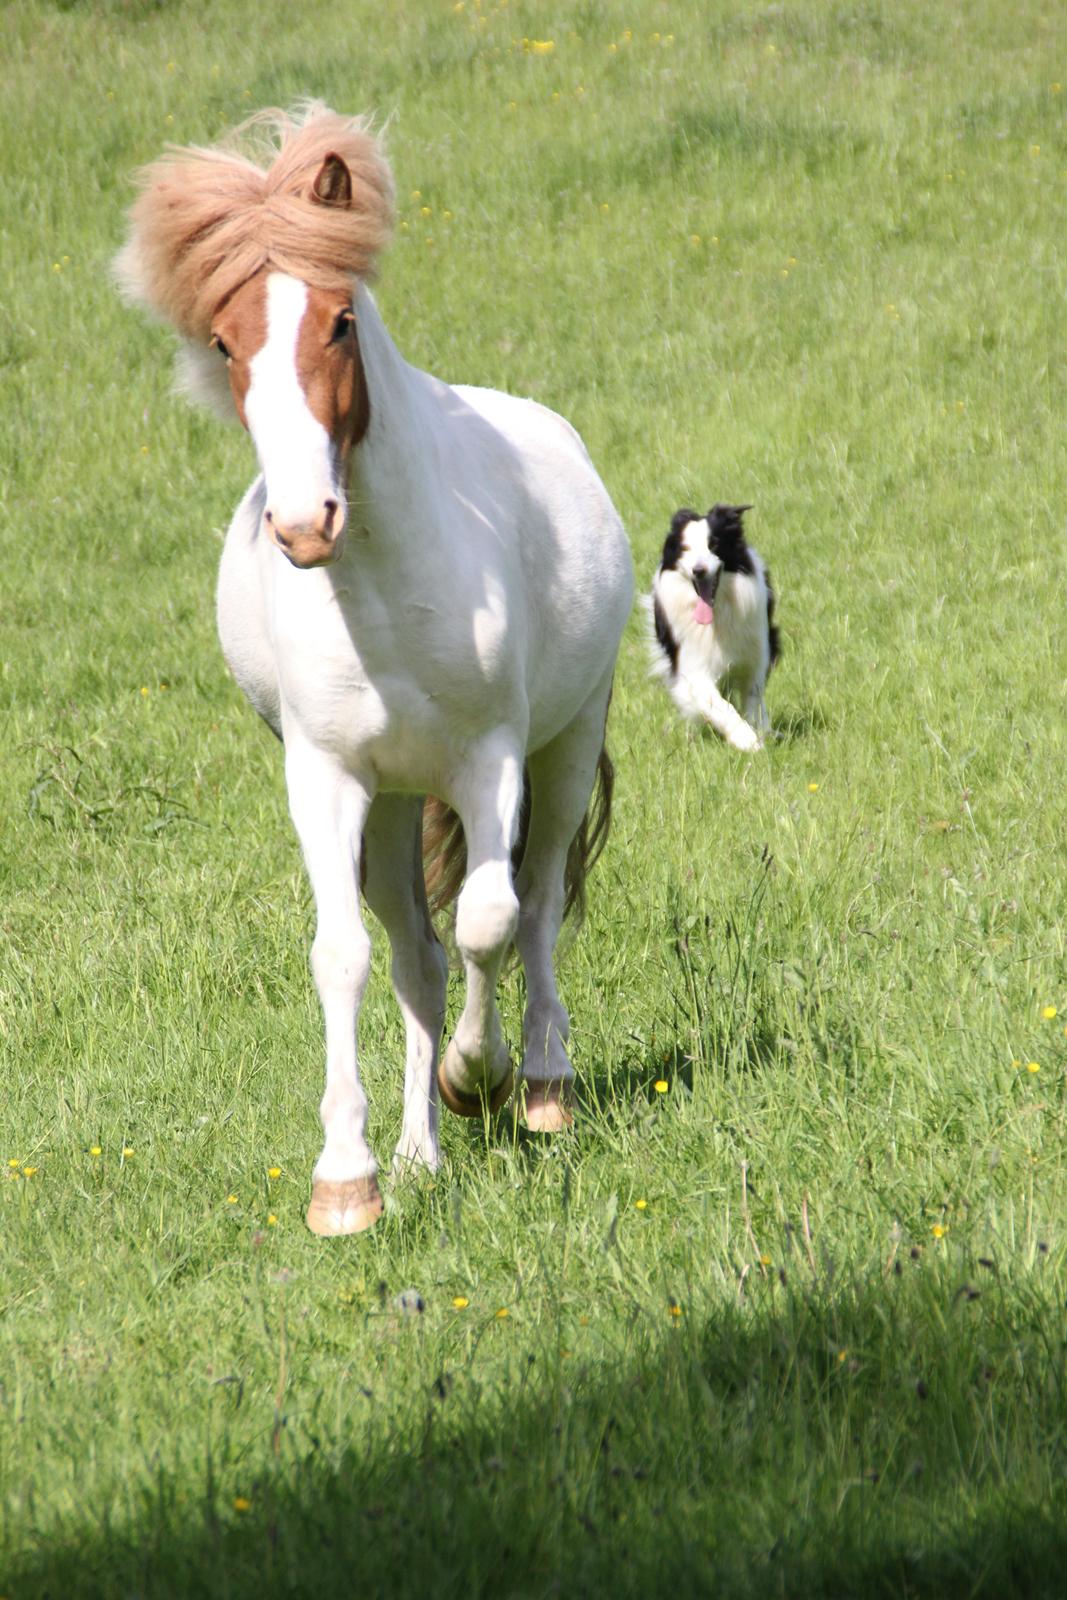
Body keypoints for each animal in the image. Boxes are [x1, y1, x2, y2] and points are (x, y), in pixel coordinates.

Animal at [116, 106, 633, 1241]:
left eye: (340, 323)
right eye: (225, 342)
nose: (305, 523)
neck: (388, 599)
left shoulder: (492, 762)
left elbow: (490, 918)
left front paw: (478, 1078)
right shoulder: (326, 778)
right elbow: (346, 955)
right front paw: (349, 1178)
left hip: (564, 747)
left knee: (532, 904)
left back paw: (540, 1085)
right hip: (393, 805)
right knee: (415, 953)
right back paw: (418, 1153)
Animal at [646, 502, 780, 752]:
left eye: (714, 545)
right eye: (685, 549)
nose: (698, 570)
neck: (716, 618)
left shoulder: (756, 653)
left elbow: (753, 696)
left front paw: (760, 732)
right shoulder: (693, 668)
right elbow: (719, 705)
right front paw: (747, 740)